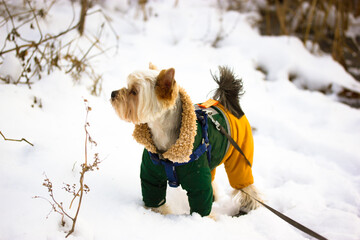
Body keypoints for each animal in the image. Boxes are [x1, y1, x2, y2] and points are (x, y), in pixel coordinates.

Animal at [111, 62, 260, 217]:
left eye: (134, 92)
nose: (113, 94)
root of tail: (227, 103)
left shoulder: (197, 176)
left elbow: (201, 198)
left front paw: (202, 219)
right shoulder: (152, 172)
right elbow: (154, 194)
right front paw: (156, 212)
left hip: (240, 154)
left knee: (245, 182)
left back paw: (249, 206)